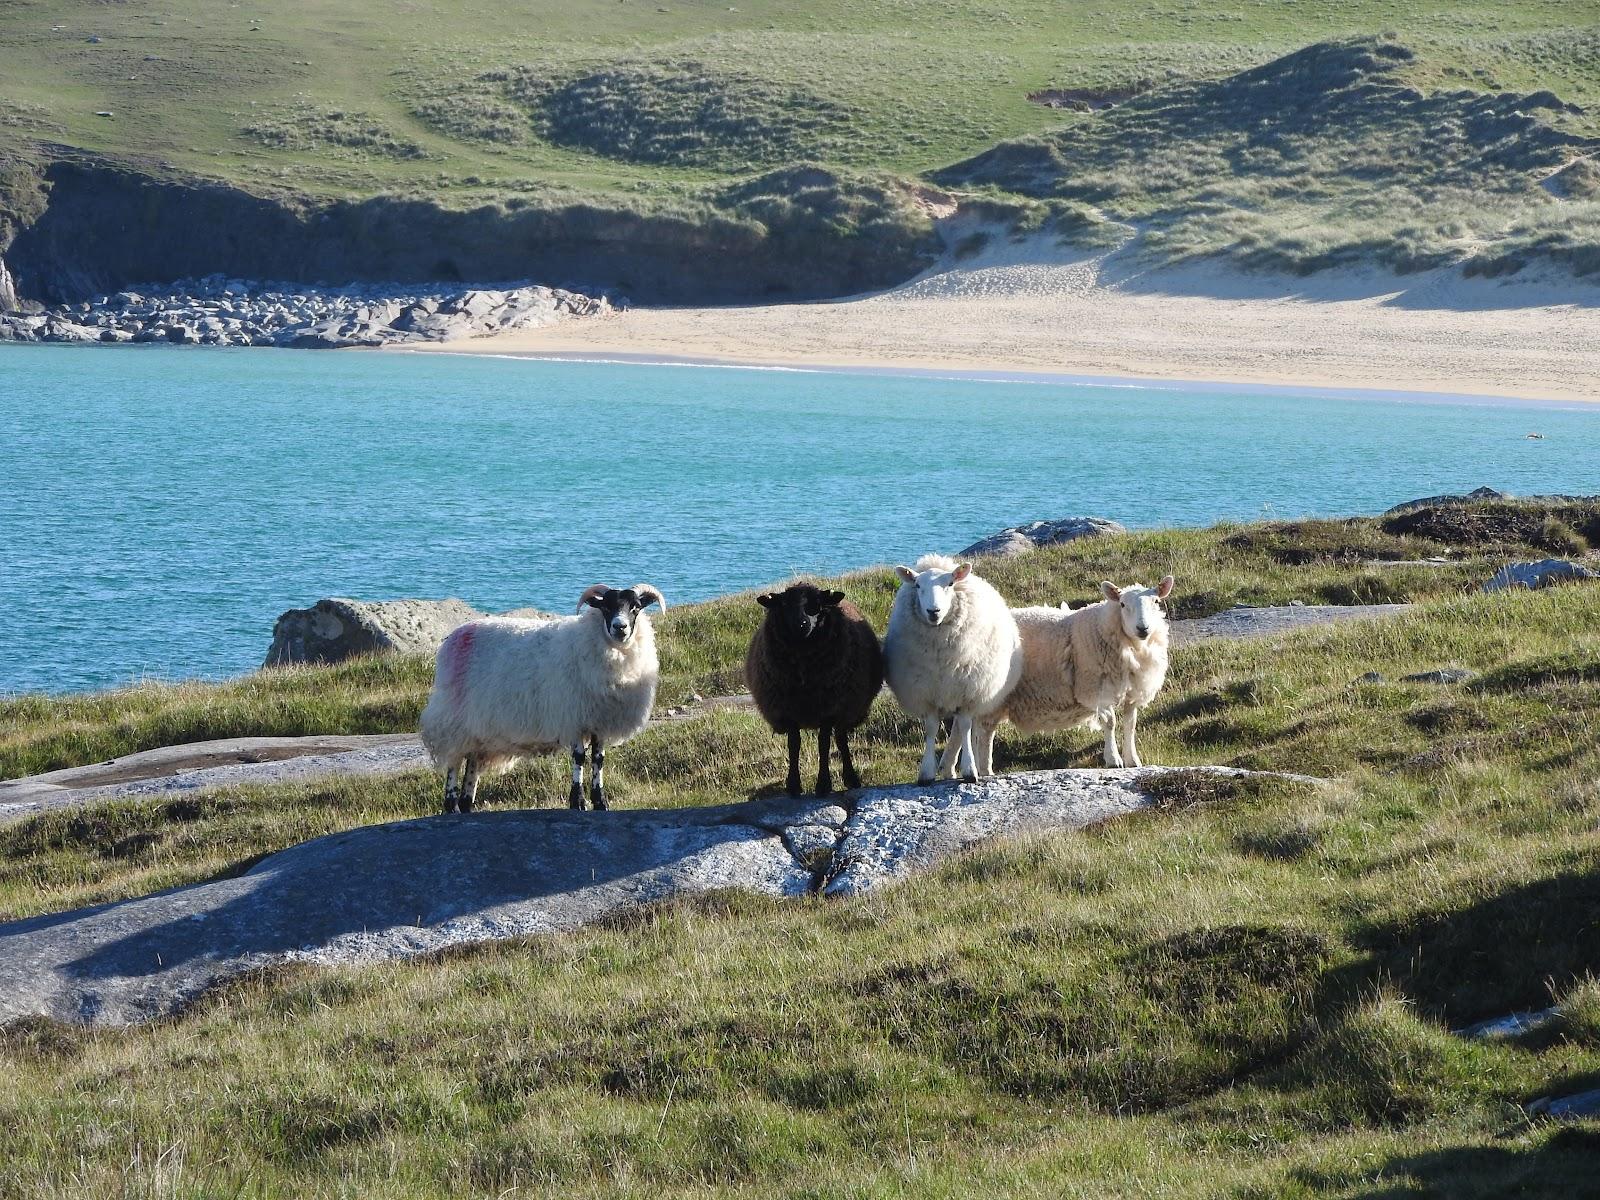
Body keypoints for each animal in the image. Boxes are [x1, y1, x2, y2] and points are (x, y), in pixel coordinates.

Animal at [422, 585, 665, 819]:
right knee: (454, 762)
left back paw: (466, 805)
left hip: (477, 728)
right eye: (606, 607)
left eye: (635, 607)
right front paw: (578, 803)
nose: (619, 627)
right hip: (452, 719)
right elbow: (579, 758)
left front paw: (600, 803)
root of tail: (455, 636)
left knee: (471, 763)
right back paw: (452, 805)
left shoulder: (599, 721)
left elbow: (598, 759)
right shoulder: (572, 716)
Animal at [883, 556, 1017, 790]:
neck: (940, 657)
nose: (933, 611)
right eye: (917, 585)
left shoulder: (967, 693)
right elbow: (931, 729)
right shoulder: (926, 693)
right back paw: (948, 767)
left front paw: (970, 771)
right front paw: (926, 773)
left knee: (969, 728)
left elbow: (965, 726)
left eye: (950, 584)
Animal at [972, 579, 1177, 771]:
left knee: (977, 731)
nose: (1143, 628)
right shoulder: (1094, 689)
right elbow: (1110, 722)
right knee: (983, 732)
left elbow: (1130, 724)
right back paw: (983, 769)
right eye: (1123, 604)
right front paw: (1113, 759)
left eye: (1156, 601)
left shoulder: (1132, 692)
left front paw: (1132, 760)